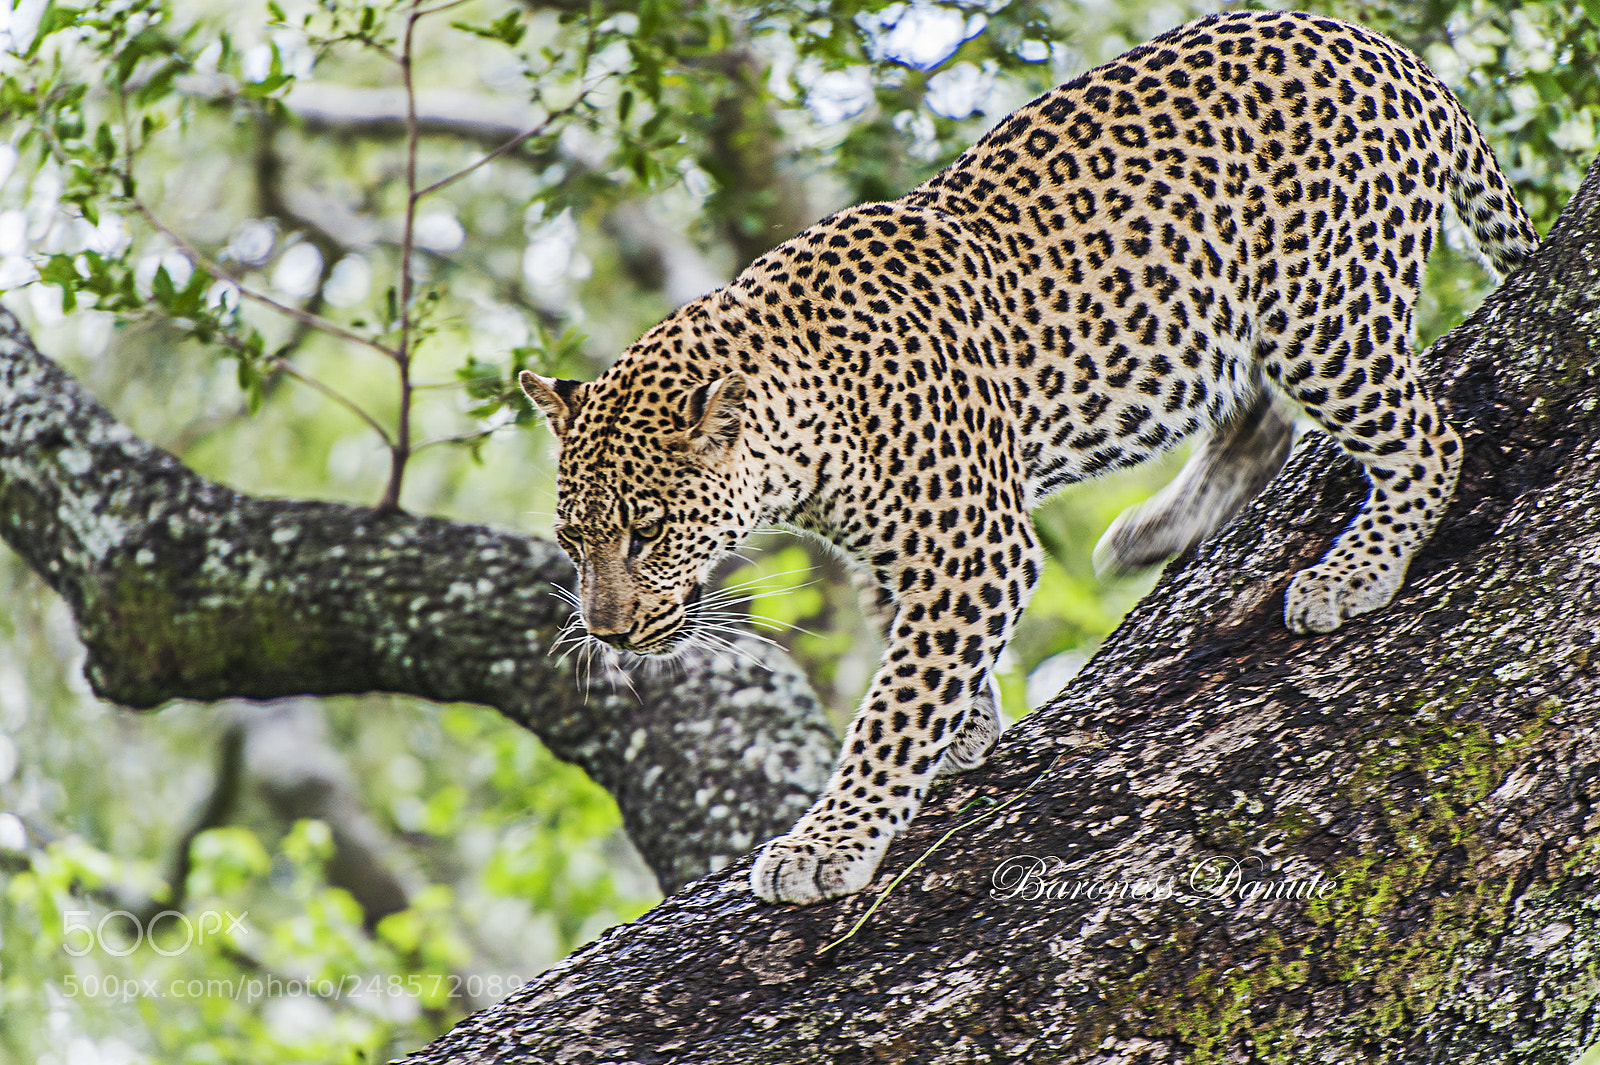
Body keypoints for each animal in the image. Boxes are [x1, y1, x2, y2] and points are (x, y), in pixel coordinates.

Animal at [519, 9, 1538, 905]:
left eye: (648, 533)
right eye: (572, 543)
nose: (607, 633)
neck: (803, 426)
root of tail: (1382, 48)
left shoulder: (972, 548)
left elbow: (894, 705)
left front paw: (828, 841)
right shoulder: (903, 550)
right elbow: (914, 654)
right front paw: (967, 728)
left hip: (1321, 312)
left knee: (1426, 436)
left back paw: (1353, 570)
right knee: (1254, 415)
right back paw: (1155, 529)